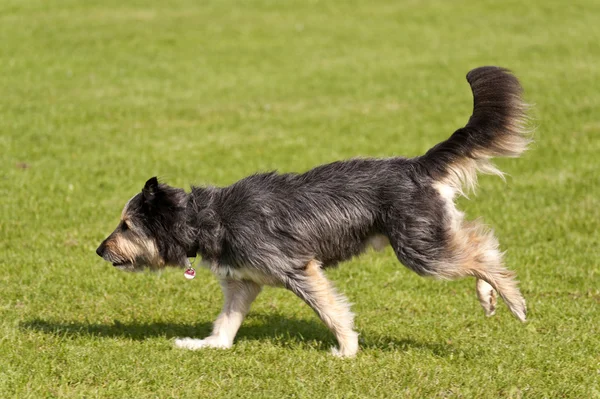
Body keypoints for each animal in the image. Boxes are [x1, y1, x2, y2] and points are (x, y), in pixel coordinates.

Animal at [97, 66, 528, 360]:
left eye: (127, 225)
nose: (99, 250)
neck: (208, 217)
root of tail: (415, 166)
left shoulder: (298, 269)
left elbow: (331, 311)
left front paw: (348, 350)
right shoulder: (242, 283)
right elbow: (225, 325)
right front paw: (203, 344)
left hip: (418, 250)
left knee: (483, 249)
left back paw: (512, 300)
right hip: (429, 237)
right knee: (475, 242)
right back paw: (488, 297)